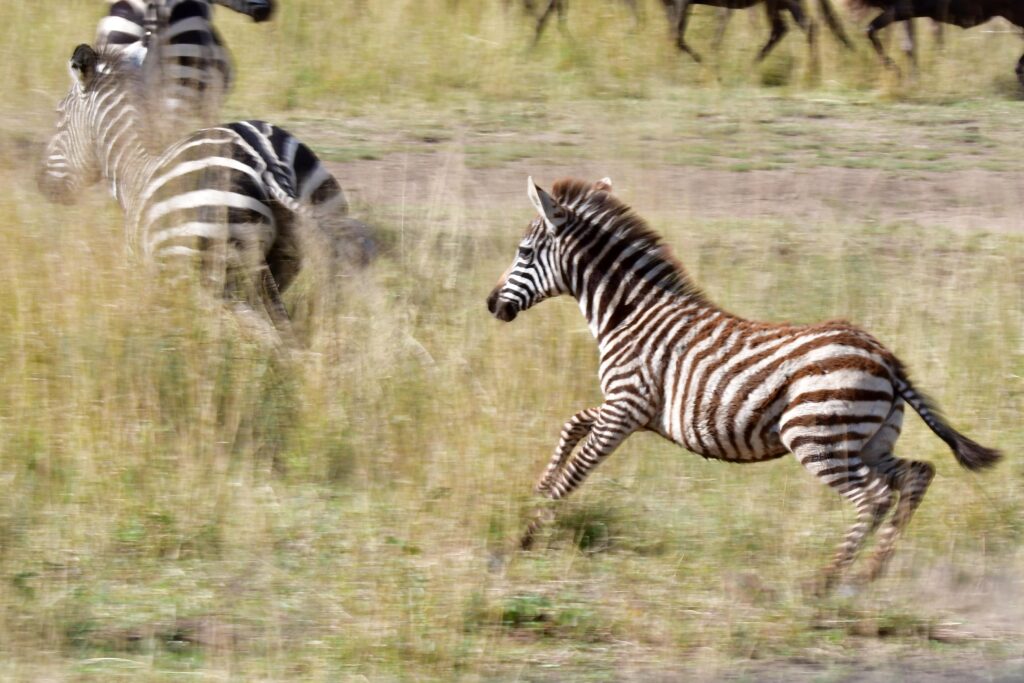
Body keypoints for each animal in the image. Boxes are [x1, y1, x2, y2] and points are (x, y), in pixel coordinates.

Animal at [38, 43, 365, 346]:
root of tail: (265, 161)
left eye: (59, 116)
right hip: (296, 248)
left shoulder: (154, 274)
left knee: (271, 339)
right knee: (298, 329)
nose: (45, 186)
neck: (135, 171)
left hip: (218, 276)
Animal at [486, 177, 1001, 590]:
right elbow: (572, 423)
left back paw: (827, 580)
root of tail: (886, 357)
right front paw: (535, 491)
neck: (630, 315)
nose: (492, 304)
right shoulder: (631, 409)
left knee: (873, 497)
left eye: (524, 252)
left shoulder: (625, 407)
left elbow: (577, 472)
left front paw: (523, 536)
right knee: (916, 475)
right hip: (869, 440)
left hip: (816, 438)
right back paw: (872, 572)